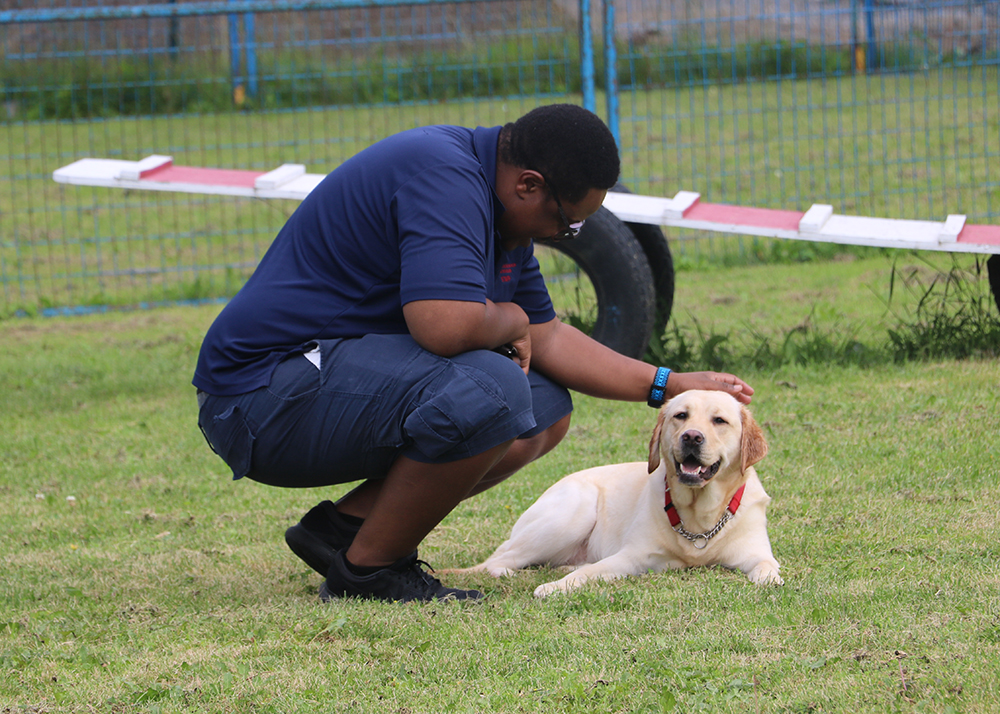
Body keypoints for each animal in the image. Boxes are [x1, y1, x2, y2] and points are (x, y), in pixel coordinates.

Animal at [458, 390, 780, 596]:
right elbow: (585, 574)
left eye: (719, 421)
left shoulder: (756, 552)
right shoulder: (631, 557)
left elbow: (768, 567)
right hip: (575, 510)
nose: (691, 436)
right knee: (498, 560)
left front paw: (769, 579)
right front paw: (552, 588)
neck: (699, 518)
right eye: (681, 416)